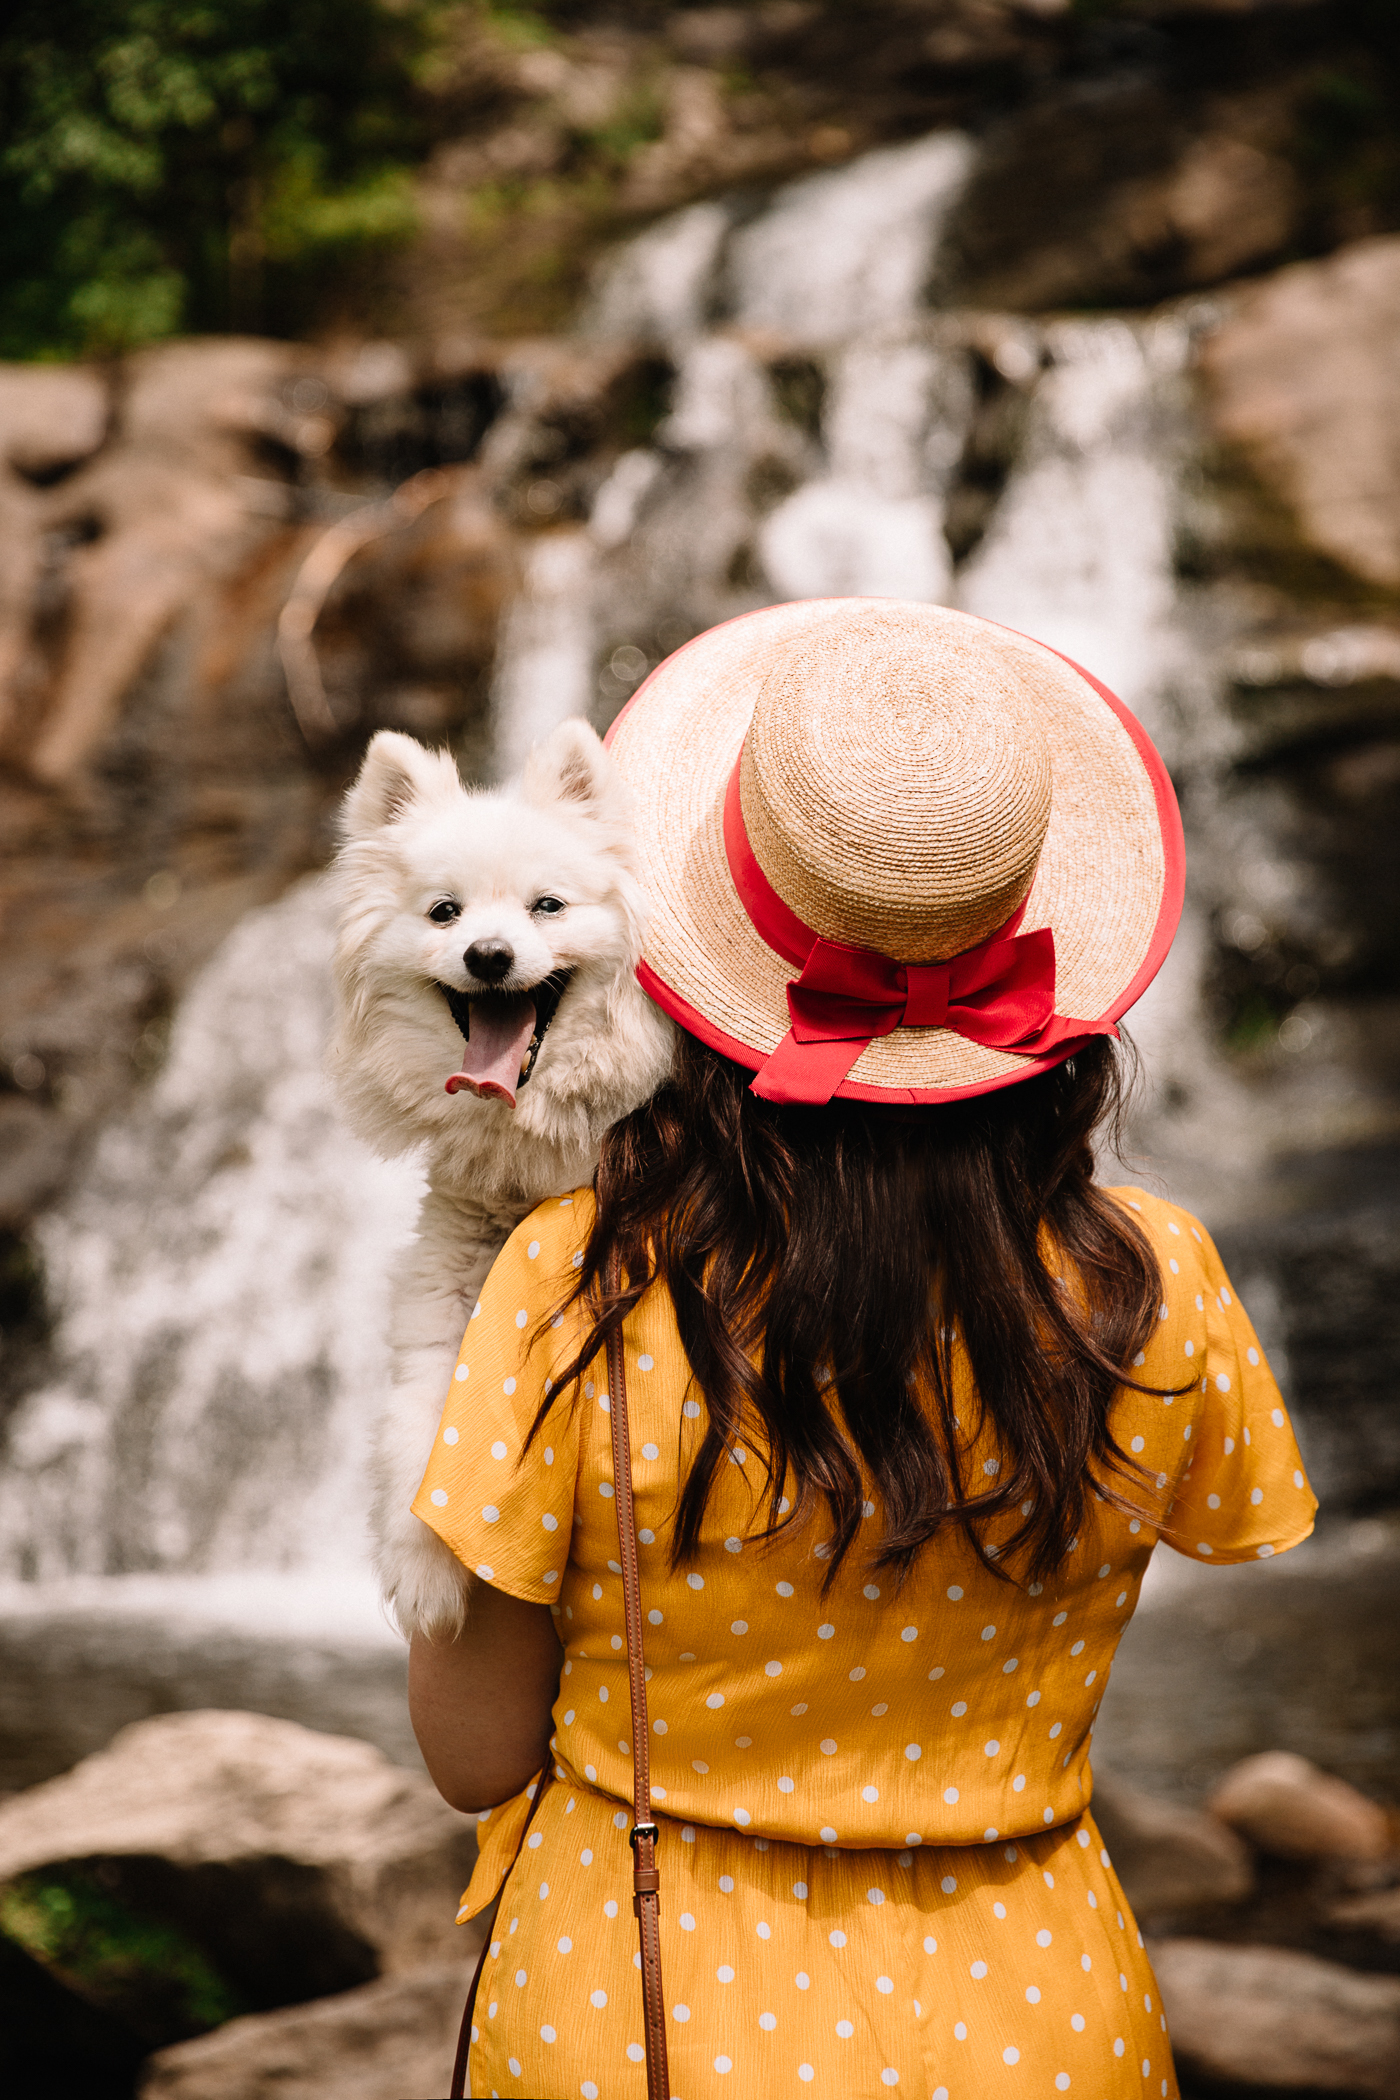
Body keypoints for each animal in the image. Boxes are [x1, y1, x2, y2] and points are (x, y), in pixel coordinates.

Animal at [331, 722, 675, 1637]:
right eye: (443, 912)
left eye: (546, 907)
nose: (488, 955)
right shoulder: (452, 1270)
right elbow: (422, 1414)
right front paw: (421, 1571)